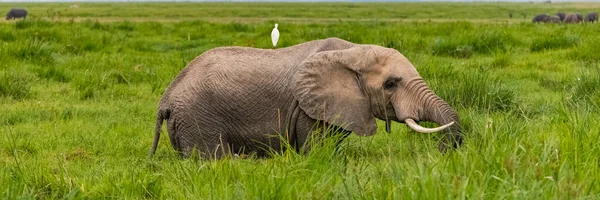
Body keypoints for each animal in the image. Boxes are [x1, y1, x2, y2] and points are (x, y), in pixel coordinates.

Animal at [151, 37, 464, 159]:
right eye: (390, 84)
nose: (442, 150)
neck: (352, 50)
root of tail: (166, 98)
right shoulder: (308, 111)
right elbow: (317, 151)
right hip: (198, 119)